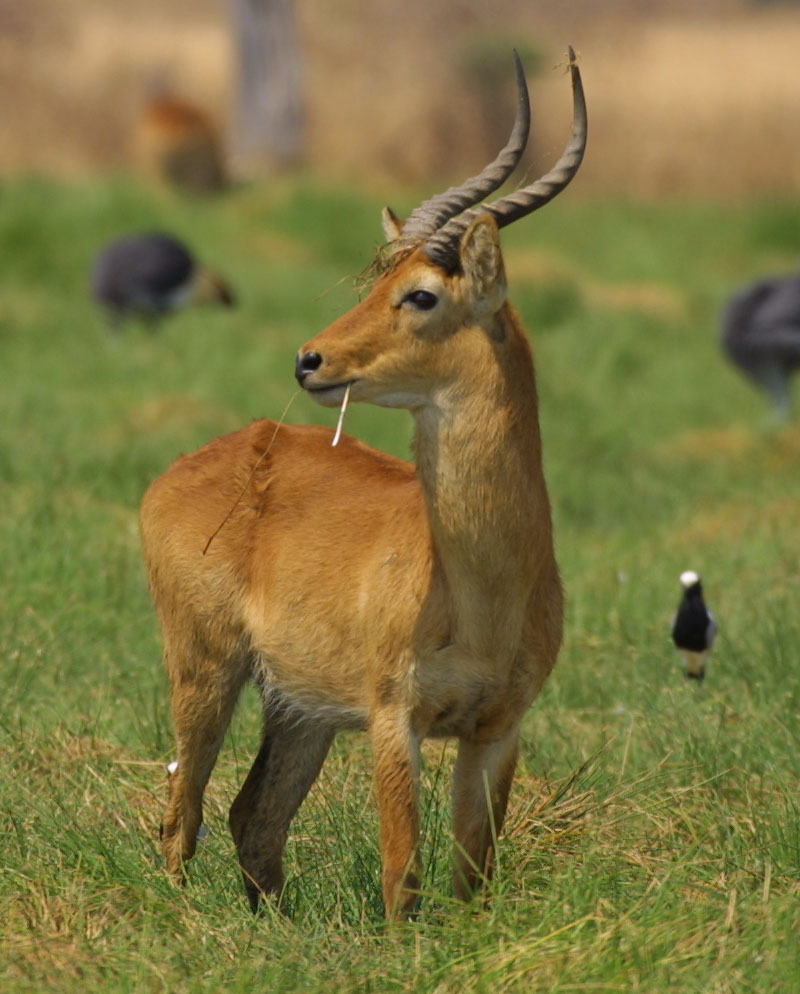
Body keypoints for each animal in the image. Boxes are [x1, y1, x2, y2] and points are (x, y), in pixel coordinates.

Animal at [139, 44, 588, 916]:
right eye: (377, 283)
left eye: (421, 293)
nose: (310, 358)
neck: (483, 588)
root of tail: (206, 457)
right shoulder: (393, 719)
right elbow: (402, 873)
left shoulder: (497, 729)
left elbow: (473, 877)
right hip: (207, 668)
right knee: (183, 812)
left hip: (298, 707)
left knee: (253, 815)